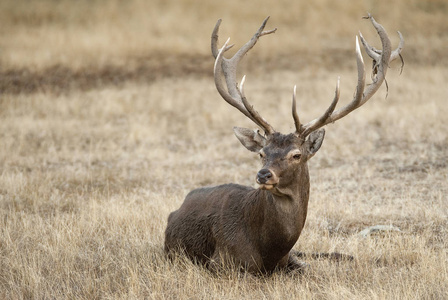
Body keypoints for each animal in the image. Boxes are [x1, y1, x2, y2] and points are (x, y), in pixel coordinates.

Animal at [164, 15, 402, 276]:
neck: (270, 250)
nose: (263, 175)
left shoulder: (292, 259)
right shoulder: (222, 262)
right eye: (261, 153)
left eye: (296, 155)